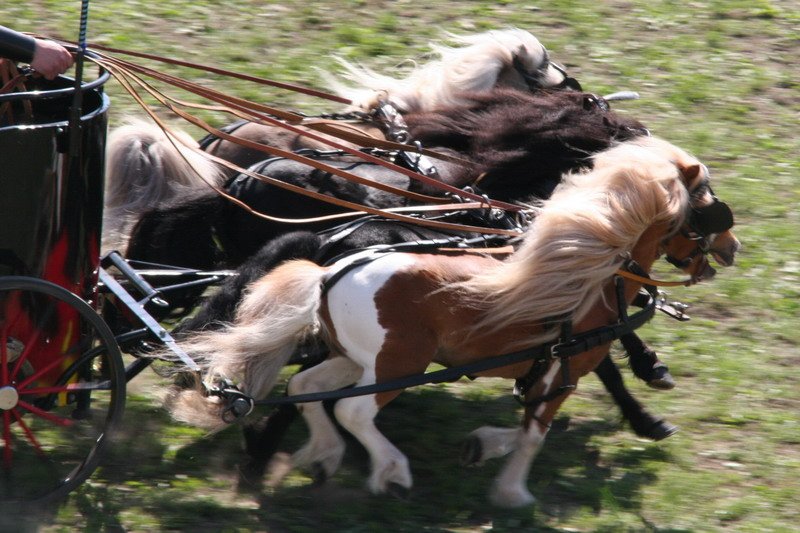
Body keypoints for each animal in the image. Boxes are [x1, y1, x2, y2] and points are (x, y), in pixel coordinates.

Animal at [163, 136, 739, 507]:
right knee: (351, 411)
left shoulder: (548, 367)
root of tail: (330, 267)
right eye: (707, 206)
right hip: (398, 366)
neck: (585, 270)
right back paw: (387, 471)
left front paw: (483, 447)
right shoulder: (564, 367)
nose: (733, 248)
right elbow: (537, 430)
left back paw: (317, 455)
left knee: (308, 389)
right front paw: (511, 488)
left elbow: (534, 422)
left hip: (353, 359)